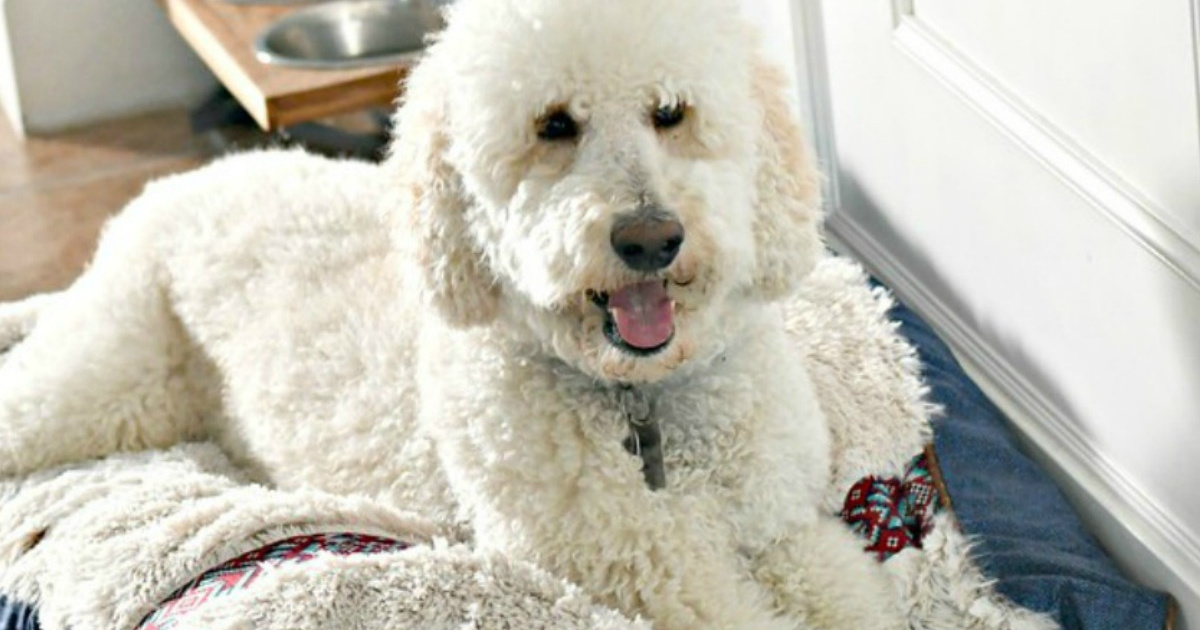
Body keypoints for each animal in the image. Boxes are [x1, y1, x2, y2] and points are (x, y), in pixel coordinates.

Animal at [0, 1, 902, 624]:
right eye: (554, 125)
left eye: (672, 111)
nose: (650, 237)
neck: (640, 400)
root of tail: (182, 180)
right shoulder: (658, 576)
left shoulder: (789, 534)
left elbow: (853, 597)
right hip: (108, 382)